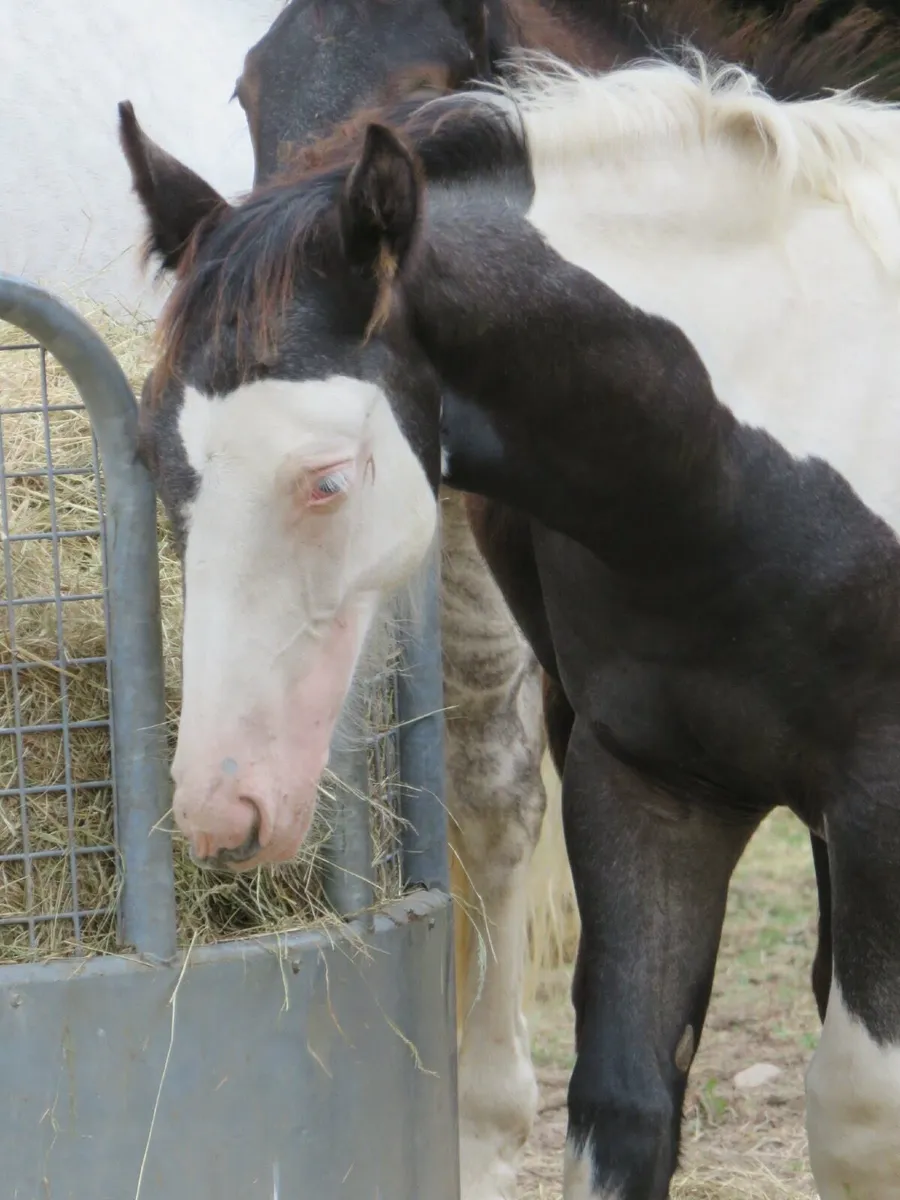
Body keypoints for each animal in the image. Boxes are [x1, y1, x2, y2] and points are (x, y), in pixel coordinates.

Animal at [117, 13, 900, 1194]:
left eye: (327, 478)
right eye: (156, 452)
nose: (223, 808)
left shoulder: (880, 810)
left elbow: (858, 1113)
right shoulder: (648, 788)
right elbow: (621, 1103)